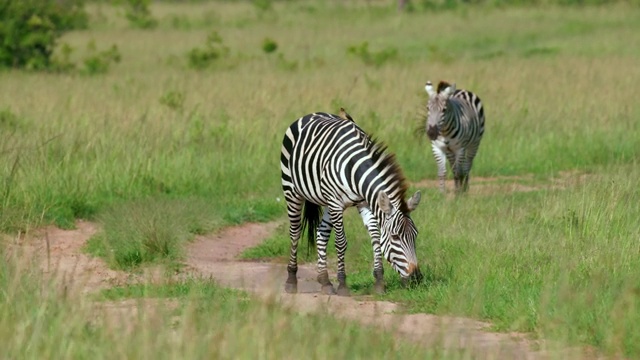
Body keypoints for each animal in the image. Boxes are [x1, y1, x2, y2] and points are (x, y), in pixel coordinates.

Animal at [278, 112, 420, 296]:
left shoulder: (364, 202)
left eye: (415, 235)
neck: (354, 168)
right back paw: (291, 280)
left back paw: (325, 281)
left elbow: (375, 237)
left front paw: (379, 281)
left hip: (326, 201)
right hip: (292, 189)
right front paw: (343, 284)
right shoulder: (336, 204)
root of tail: (311, 114)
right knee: (294, 232)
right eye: (395, 237)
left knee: (321, 233)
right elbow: (341, 242)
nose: (417, 278)